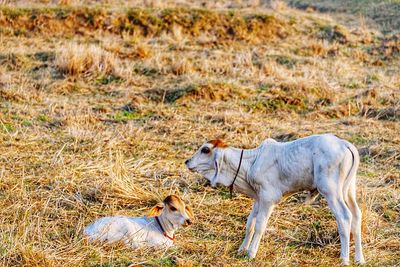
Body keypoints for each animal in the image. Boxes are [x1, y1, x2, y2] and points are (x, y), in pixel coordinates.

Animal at [186, 134, 364, 266]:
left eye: (205, 149)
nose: (187, 161)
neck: (250, 163)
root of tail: (344, 144)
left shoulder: (267, 199)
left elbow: (259, 226)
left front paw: (251, 253)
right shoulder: (258, 199)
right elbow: (250, 224)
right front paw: (242, 249)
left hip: (331, 191)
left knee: (344, 217)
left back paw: (344, 259)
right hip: (348, 190)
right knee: (356, 216)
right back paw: (359, 259)